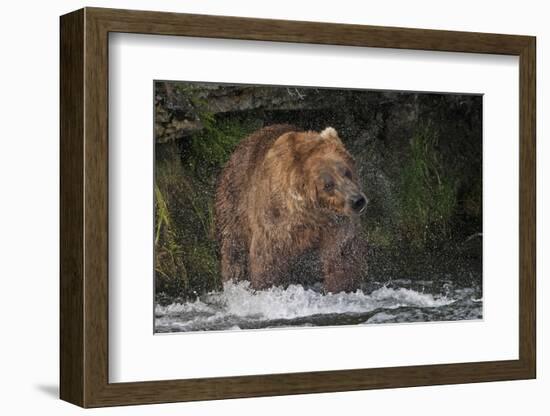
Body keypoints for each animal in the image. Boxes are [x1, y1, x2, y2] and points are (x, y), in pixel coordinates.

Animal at [215, 123, 366, 292]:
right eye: (328, 184)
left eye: (347, 172)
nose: (357, 200)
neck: (312, 215)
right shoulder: (276, 221)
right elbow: (268, 258)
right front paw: (266, 286)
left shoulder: (335, 223)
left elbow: (341, 255)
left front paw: (341, 286)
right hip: (234, 199)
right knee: (233, 248)